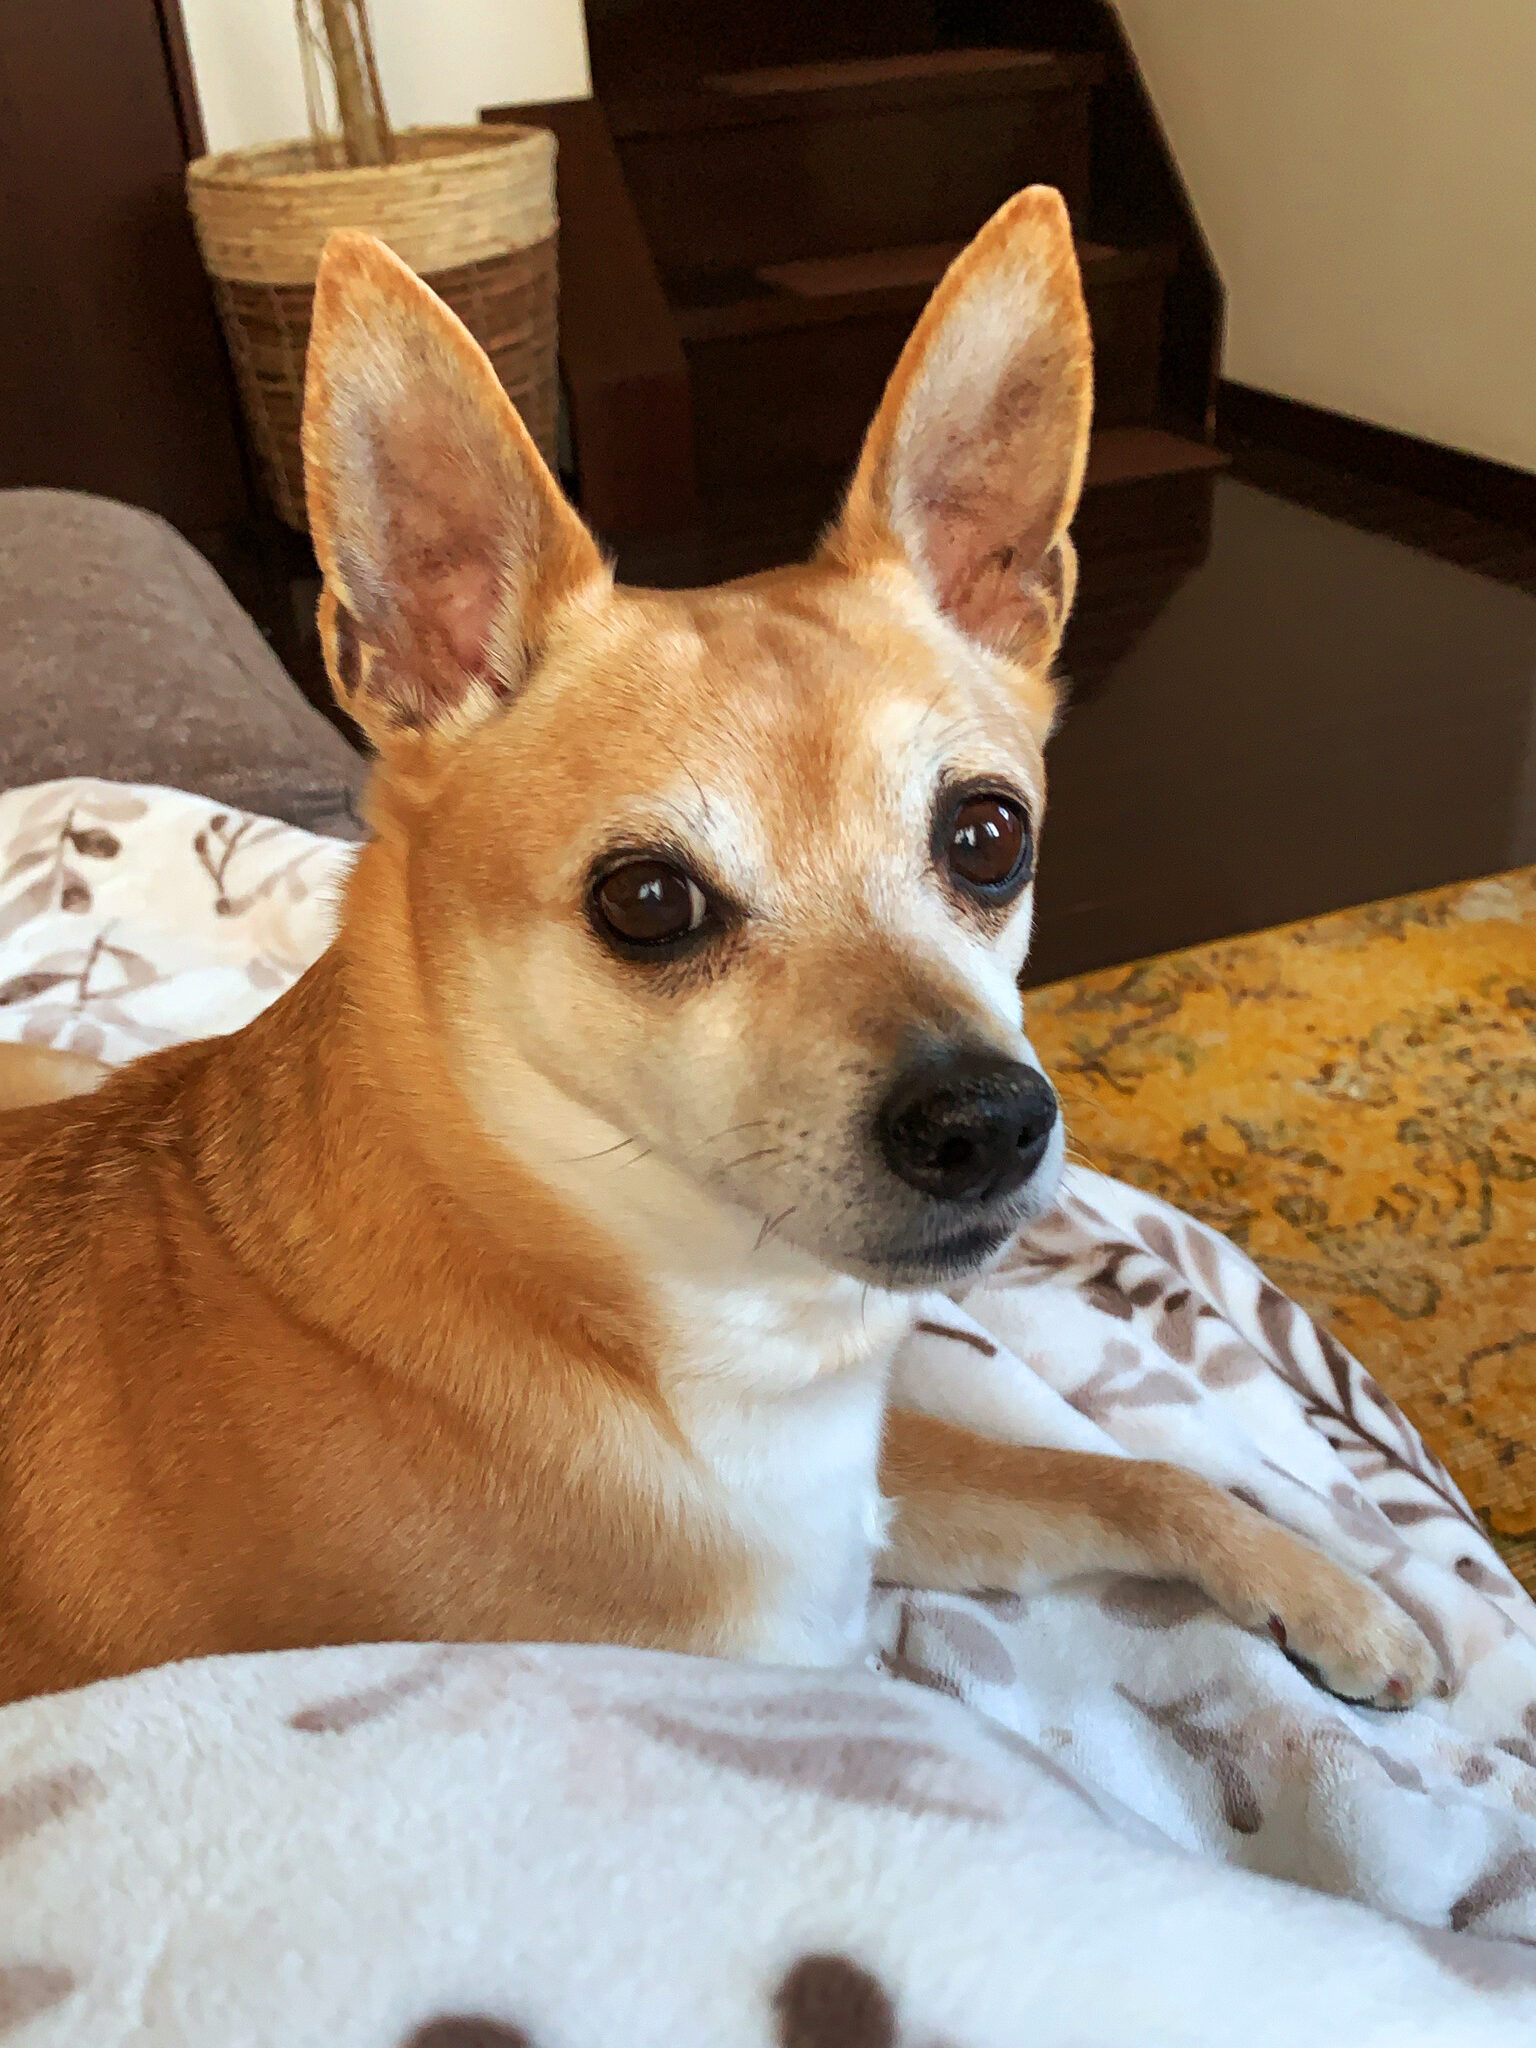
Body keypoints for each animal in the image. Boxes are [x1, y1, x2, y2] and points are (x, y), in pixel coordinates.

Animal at [0, 189, 1434, 1711]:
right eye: (646, 901)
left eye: (989, 836)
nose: (988, 1120)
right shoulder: (799, 1657)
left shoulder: (866, 1501)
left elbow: (1122, 1475)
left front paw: (1337, 1595)